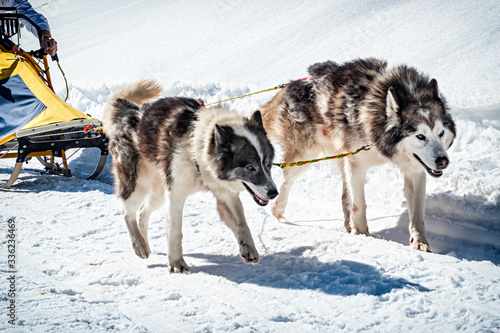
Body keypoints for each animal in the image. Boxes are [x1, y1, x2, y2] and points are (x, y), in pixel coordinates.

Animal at [103, 79, 280, 272]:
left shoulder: (225, 194)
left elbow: (242, 223)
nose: (273, 193)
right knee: (127, 211)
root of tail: (129, 110)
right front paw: (176, 262)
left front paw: (248, 247)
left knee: (142, 213)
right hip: (137, 185)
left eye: (268, 164)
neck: (197, 144)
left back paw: (144, 242)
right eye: (250, 167)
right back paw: (139, 244)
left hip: (159, 192)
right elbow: (174, 231)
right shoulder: (175, 195)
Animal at [262, 59, 458, 252]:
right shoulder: (357, 163)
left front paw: (420, 242)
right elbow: (359, 204)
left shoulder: (414, 170)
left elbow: (417, 212)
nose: (443, 161)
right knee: (286, 179)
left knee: (343, 195)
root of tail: (292, 84)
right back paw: (277, 207)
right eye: (420, 136)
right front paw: (362, 234)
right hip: (305, 157)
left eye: (441, 133)